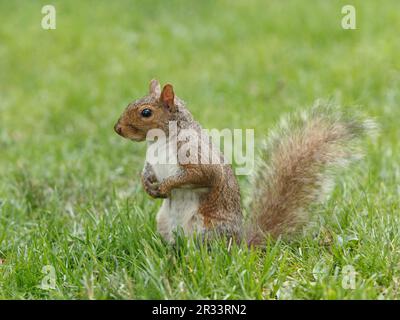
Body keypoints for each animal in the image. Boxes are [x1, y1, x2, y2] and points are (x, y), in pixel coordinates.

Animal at [113, 79, 376, 245]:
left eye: (146, 112)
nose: (117, 129)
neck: (160, 141)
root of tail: (240, 246)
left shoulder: (197, 156)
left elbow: (201, 175)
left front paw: (166, 186)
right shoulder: (152, 160)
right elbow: (148, 171)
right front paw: (147, 185)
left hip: (207, 227)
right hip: (164, 222)